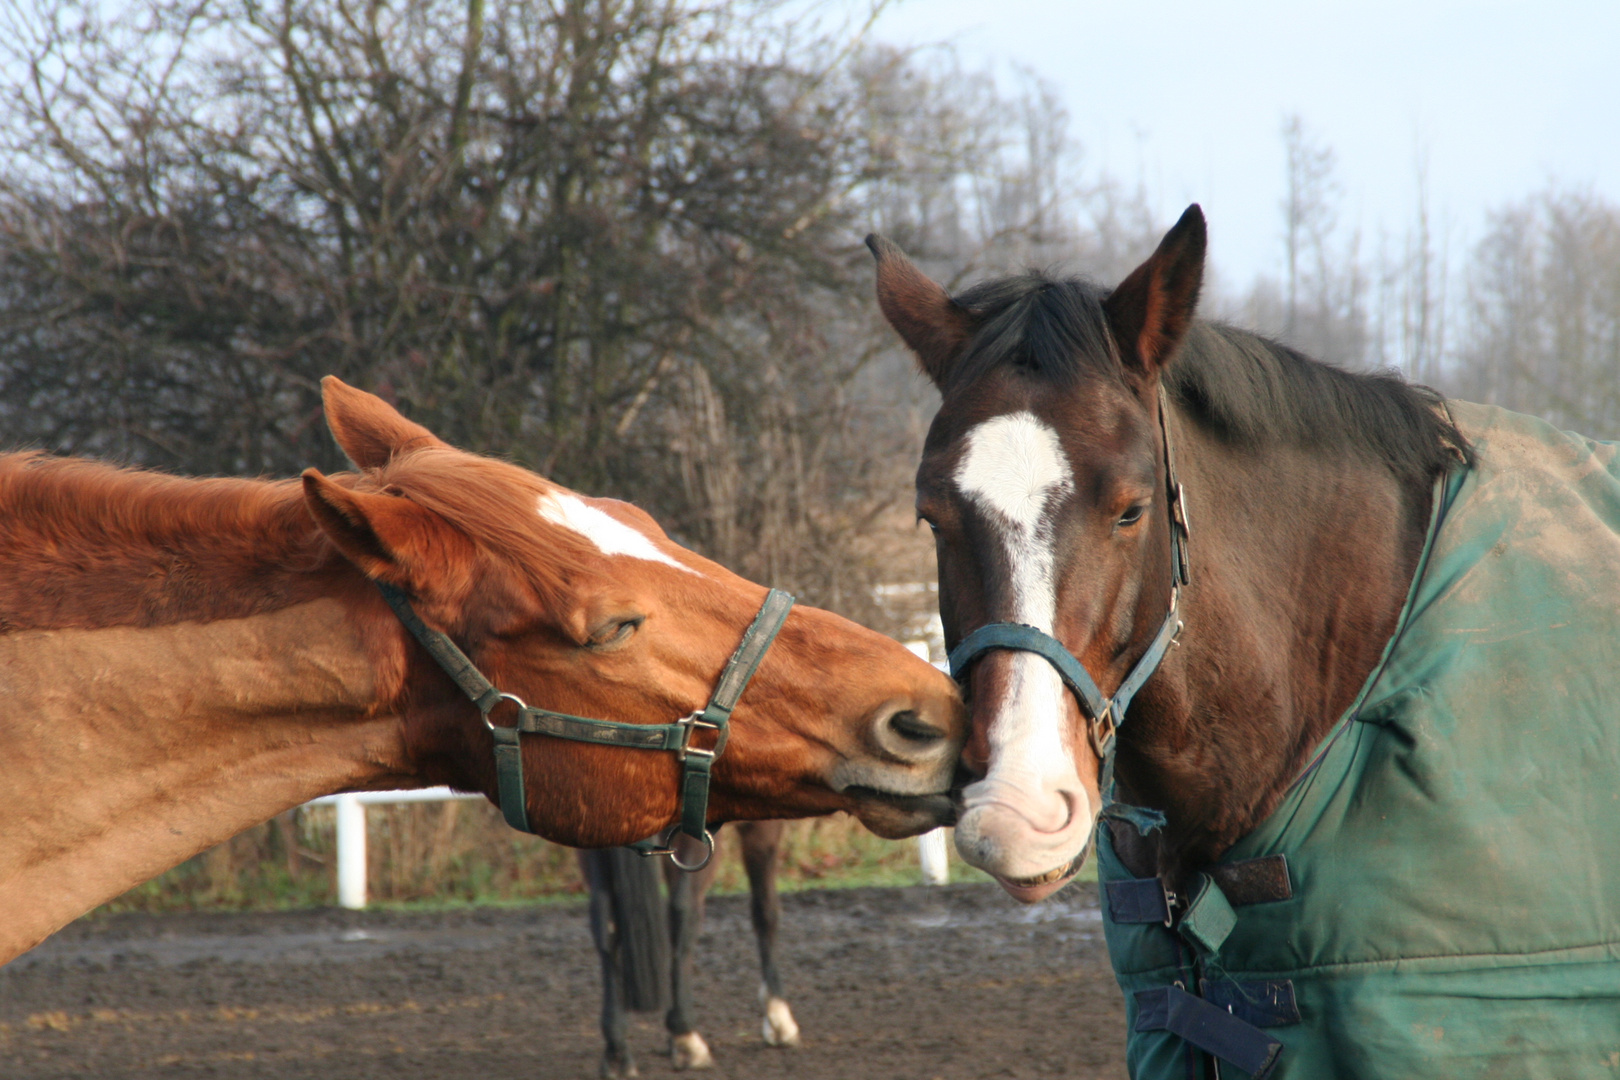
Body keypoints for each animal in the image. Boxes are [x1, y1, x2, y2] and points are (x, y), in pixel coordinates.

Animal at [583, 822, 797, 1075]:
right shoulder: (763, 828)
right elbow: (766, 911)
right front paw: (778, 1015)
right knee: (682, 911)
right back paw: (686, 1037)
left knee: (605, 920)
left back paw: (617, 1051)